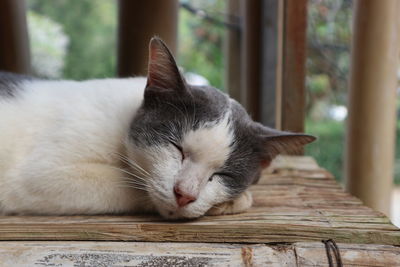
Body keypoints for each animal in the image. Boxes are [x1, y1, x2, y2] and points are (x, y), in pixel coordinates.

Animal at [0, 38, 314, 221]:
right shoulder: (37, 174)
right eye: (177, 148)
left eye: (224, 174)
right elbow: (129, 184)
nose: (185, 195)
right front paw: (237, 201)